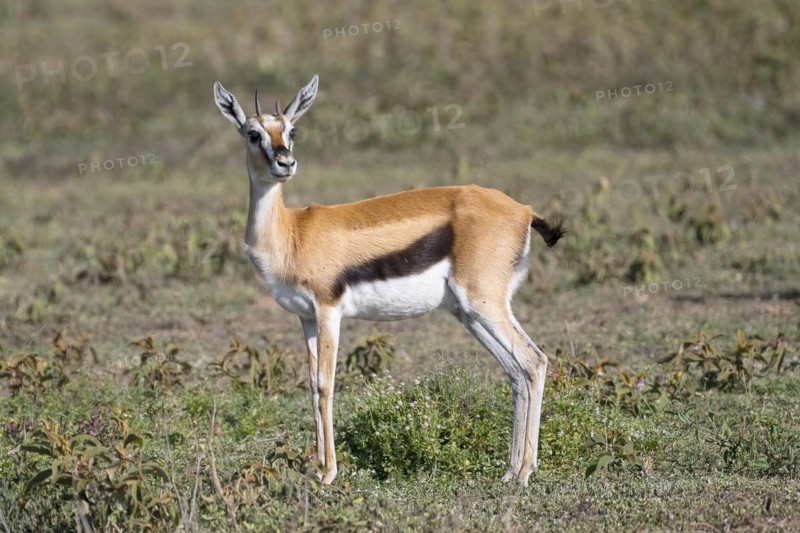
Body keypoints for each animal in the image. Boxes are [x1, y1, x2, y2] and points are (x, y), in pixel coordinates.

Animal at [213, 75, 565, 485]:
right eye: (253, 134)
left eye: (291, 131)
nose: (285, 163)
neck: (291, 232)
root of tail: (523, 211)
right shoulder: (305, 317)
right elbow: (312, 387)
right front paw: (317, 468)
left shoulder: (328, 310)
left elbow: (325, 385)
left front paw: (329, 474)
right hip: (468, 313)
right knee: (516, 372)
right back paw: (510, 470)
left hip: (484, 303)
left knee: (534, 361)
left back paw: (524, 472)